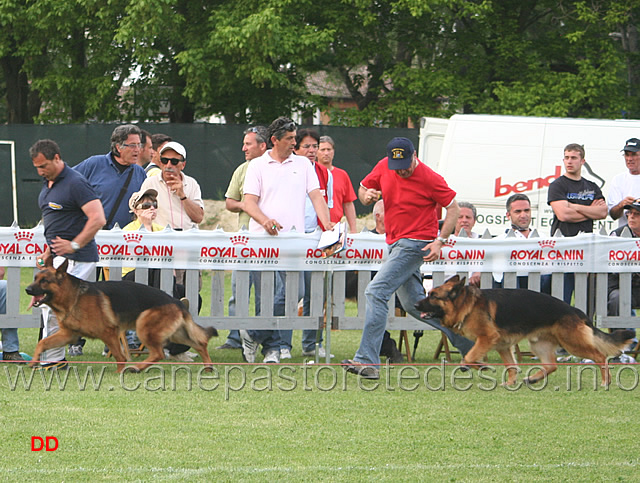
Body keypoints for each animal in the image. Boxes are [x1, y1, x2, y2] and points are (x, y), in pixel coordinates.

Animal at [25, 260, 218, 374]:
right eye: (35, 278)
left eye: (44, 281)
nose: (27, 289)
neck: (73, 297)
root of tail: (176, 301)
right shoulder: (68, 335)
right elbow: (43, 343)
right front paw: (33, 362)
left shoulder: (109, 333)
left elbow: (120, 356)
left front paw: (119, 373)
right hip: (176, 334)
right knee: (200, 343)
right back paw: (208, 367)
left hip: (144, 326)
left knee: (159, 353)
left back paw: (137, 368)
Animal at [416, 276, 636, 386]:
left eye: (433, 296)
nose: (417, 305)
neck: (466, 305)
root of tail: (575, 310)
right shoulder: (502, 346)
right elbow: (511, 366)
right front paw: (508, 381)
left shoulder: (487, 338)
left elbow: (469, 356)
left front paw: (474, 366)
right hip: (539, 344)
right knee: (552, 365)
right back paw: (534, 378)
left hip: (572, 343)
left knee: (600, 356)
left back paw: (606, 381)